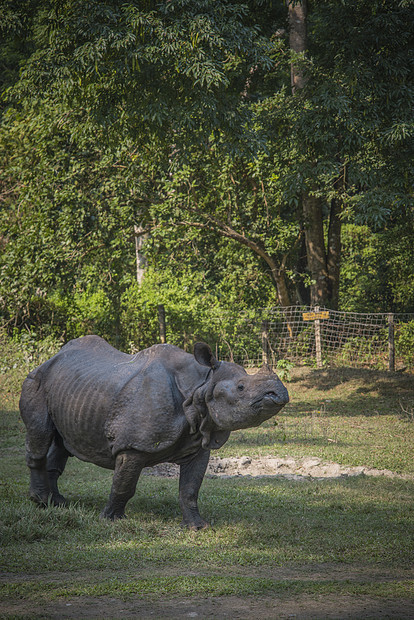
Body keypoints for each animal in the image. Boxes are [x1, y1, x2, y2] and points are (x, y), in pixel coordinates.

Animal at [19, 336, 290, 532]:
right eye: (241, 388)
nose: (279, 394)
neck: (200, 385)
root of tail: (49, 359)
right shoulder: (133, 445)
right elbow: (124, 484)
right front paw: (111, 521)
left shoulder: (198, 444)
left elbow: (190, 490)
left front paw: (198, 527)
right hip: (36, 380)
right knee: (41, 435)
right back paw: (41, 502)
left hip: (75, 391)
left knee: (62, 442)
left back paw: (58, 503)